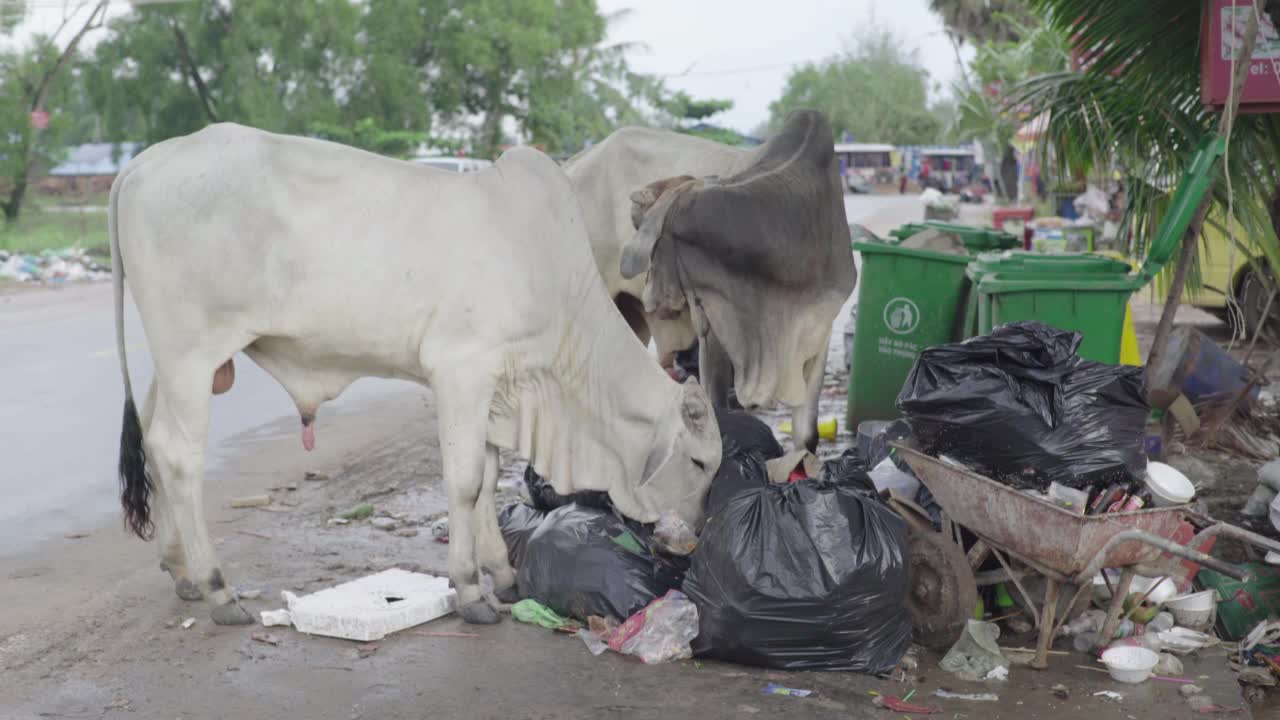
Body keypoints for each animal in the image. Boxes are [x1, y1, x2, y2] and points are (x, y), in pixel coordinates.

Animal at [110, 122, 721, 622]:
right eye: (698, 462)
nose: (692, 541)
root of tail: (144, 162)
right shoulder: (461, 369)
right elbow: (466, 480)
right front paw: (470, 590)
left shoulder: (496, 388)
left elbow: (488, 477)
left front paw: (503, 575)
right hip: (191, 353)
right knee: (178, 454)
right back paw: (217, 588)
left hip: (182, 362)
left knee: (155, 445)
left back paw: (182, 571)